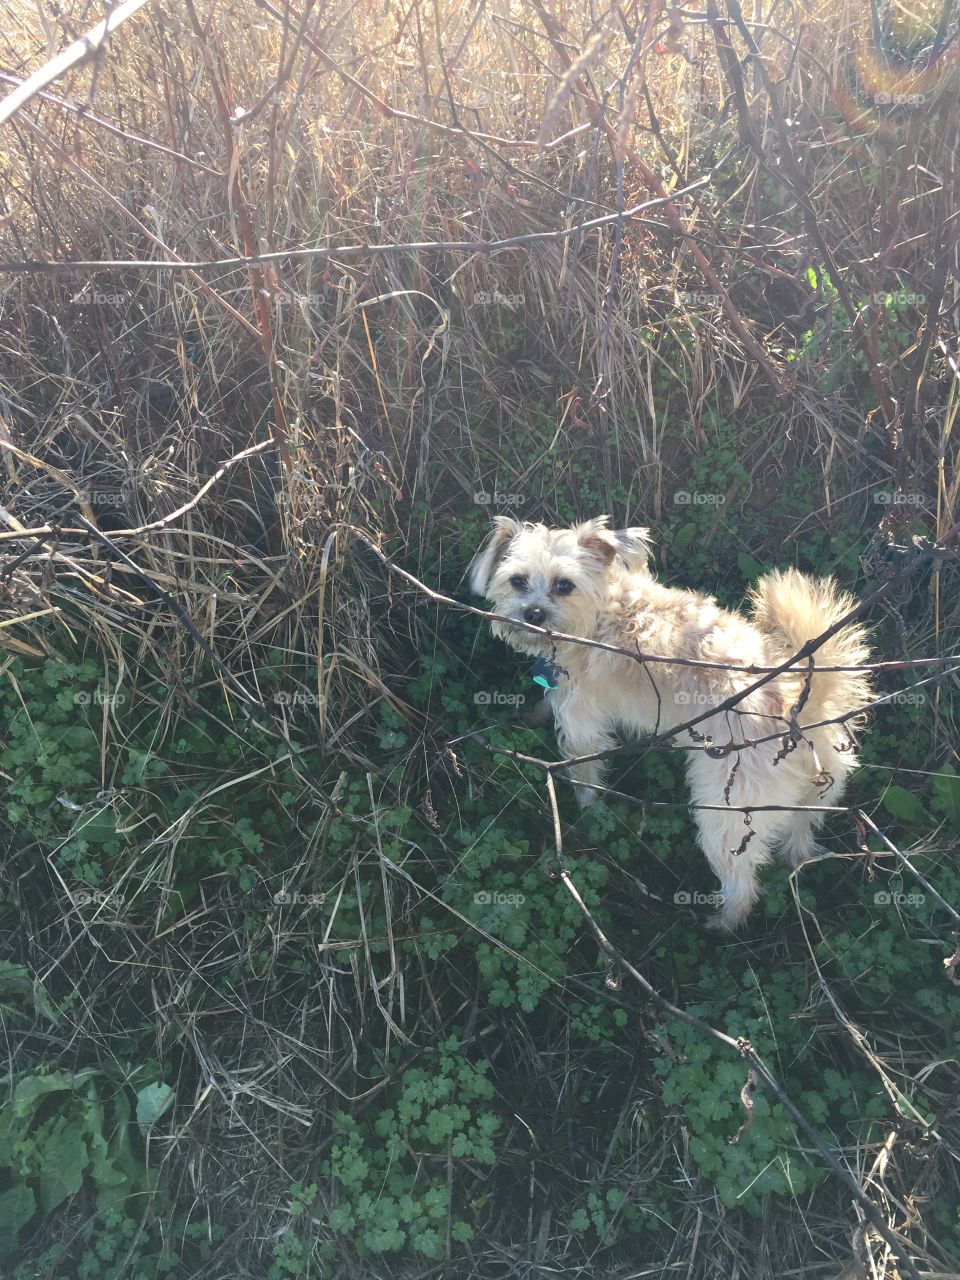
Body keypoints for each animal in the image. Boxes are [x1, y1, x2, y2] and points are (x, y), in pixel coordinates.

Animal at [471, 517, 875, 931]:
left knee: (743, 886)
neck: (598, 613)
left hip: (727, 813)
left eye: (564, 585)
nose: (532, 614)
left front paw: (587, 812)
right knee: (799, 839)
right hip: (813, 799)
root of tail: (799, 705)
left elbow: (584, 773)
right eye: (517, 581)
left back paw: (722, 924)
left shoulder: (582, 721)